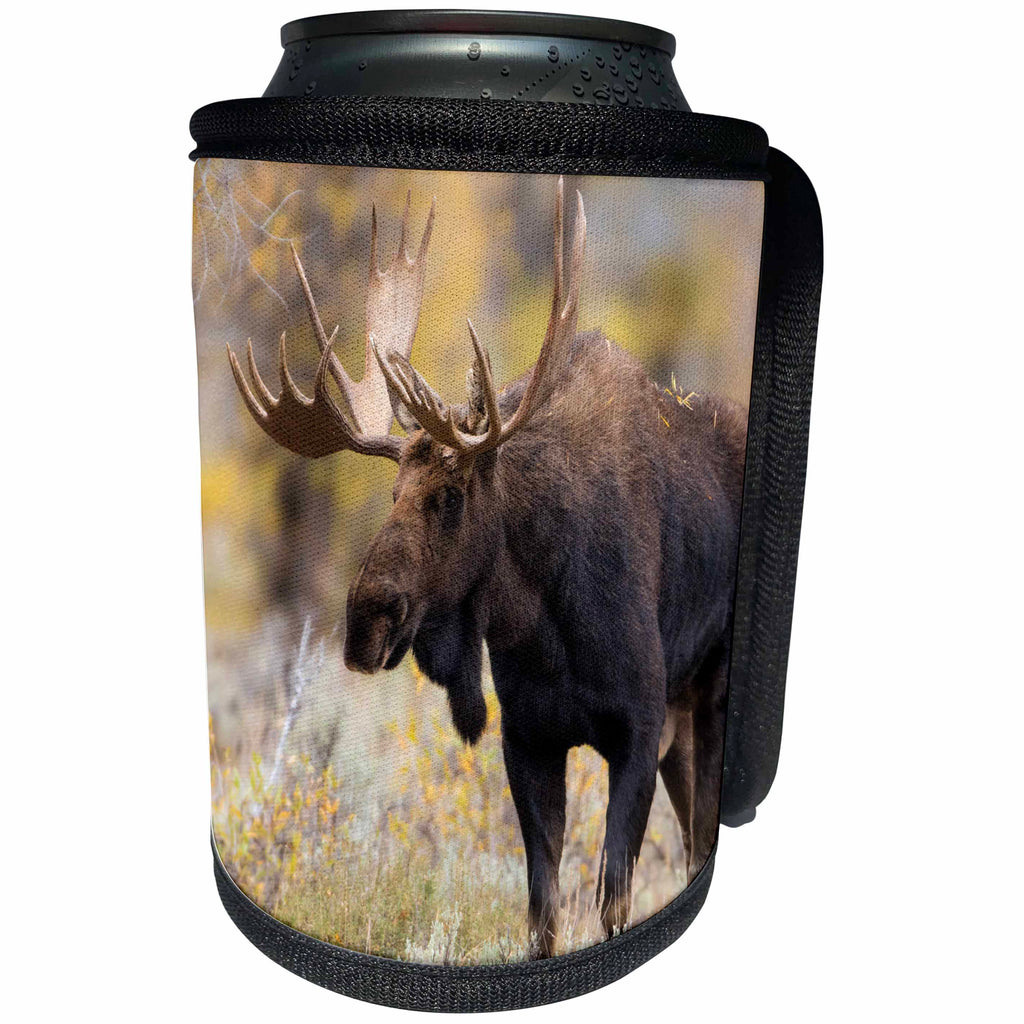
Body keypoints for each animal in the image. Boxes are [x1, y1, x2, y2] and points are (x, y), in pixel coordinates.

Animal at [227, 178, 747, 959]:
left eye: (448, 496)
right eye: (391, 494)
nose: (363, 618)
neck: (545, 622)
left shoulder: (638, 725)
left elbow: (612, 902)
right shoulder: (527, 737)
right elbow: (542, 913)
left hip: (706, 694)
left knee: (700, 838)